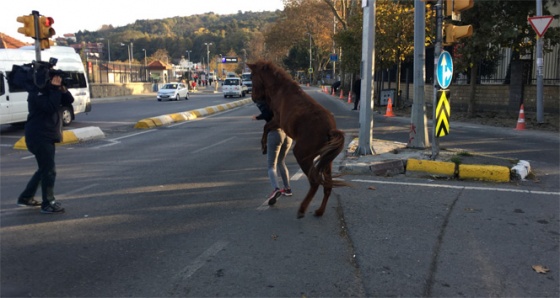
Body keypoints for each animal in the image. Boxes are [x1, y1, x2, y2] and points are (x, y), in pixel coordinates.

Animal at [248, 60, 348, 219]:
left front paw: (264, 147)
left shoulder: (277, 120)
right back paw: (319, 211)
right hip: (327, 160)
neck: (280, 89)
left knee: (314, 182)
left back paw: (302, 209)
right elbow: (266, 127)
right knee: (328, 185)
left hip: (302, 155)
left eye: (252, 76)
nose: (253, 97)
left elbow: (266, 127)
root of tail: (330, 129)